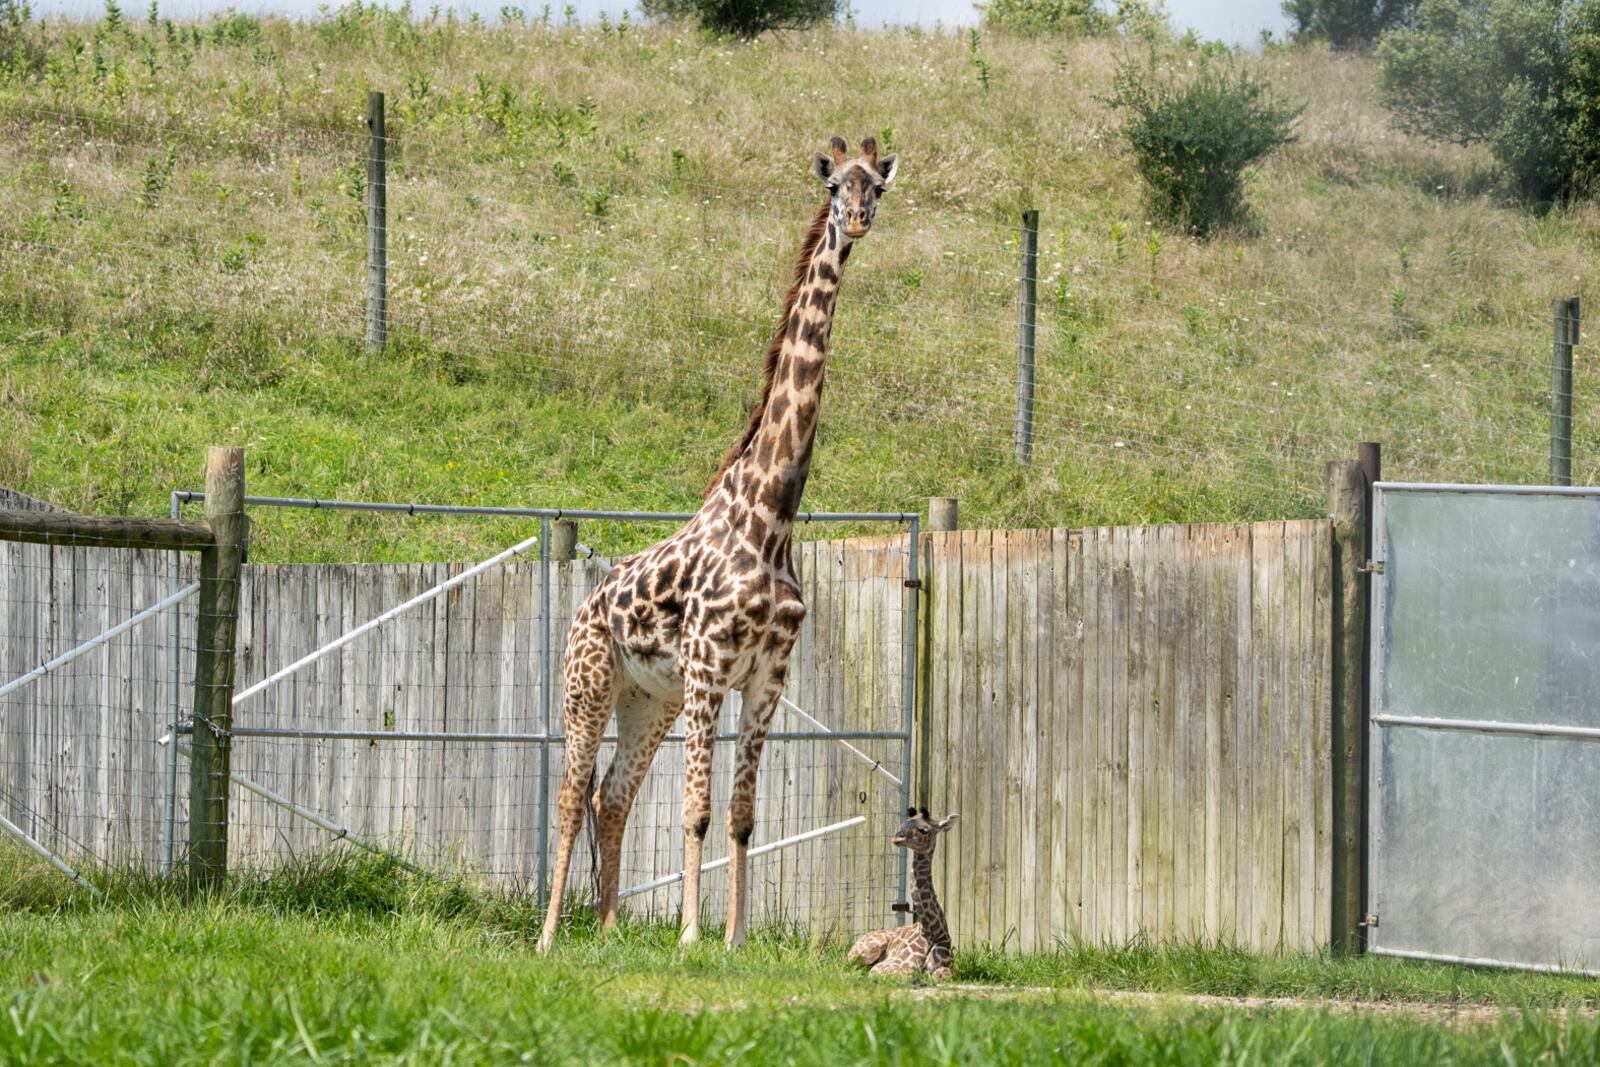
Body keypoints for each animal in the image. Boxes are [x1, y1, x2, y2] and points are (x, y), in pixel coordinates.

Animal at [531, 135, 896, 953]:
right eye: (835, 186)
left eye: (878, 188)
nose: (859, 221)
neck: (772, 516)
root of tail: (584, 606)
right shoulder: (708, 668)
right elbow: (696, 811)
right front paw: (694, 936)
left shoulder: (766, 680)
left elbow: (741, 815)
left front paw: (733, 937)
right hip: (588, 683)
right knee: (571, 793)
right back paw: (547, 936)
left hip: (648, 699)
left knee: (612, 793)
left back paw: (606, 929)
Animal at [844, 812, 953, 979]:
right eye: (904, 823)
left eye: (924, 830)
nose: (897, 837)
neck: (931, 929)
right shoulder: (887, 965)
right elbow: (907, 972)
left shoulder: (950, 967)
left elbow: (942, 973)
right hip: (868, 949)